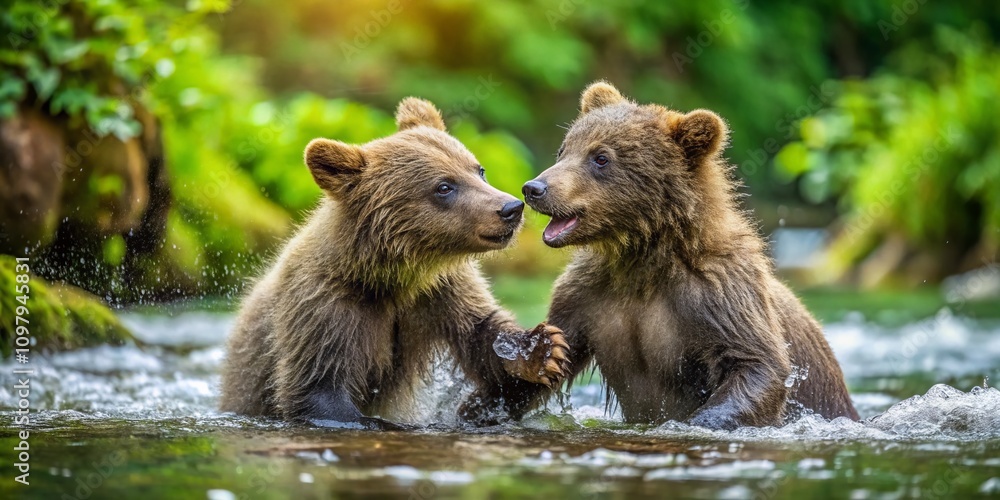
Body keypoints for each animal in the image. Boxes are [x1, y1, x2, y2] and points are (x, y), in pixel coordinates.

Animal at [219, 97, 571, 429]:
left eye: (478, 169)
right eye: (444, 186)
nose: (511, 207)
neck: (391, 277)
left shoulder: (440, 292)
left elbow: (482, 332)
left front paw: (542, 348)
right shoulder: (324, 307)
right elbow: (317, 387)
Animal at [519, 81, 858, 429]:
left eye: (601, 157)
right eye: (564, 150)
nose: (535, 188)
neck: (644, 258)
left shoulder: (717, 294)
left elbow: (757, 363)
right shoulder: (585, 298)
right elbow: (546, 364)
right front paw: (538, 352)